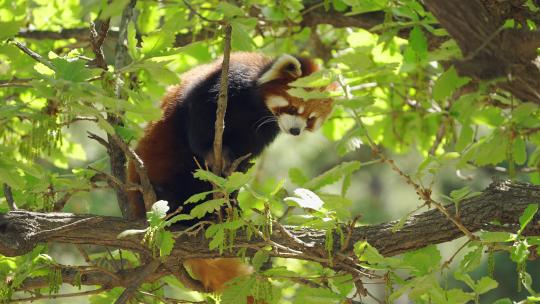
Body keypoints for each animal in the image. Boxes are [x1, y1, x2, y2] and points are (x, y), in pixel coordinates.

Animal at [129, 52, 336, 294]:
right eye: (293, 108)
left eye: (310, 119)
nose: (295, 131)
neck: (257, 108)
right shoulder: (225, 81)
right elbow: (200, 117)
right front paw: (211, 152)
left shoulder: (260, 132)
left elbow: (242, 163)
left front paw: (233, 177)